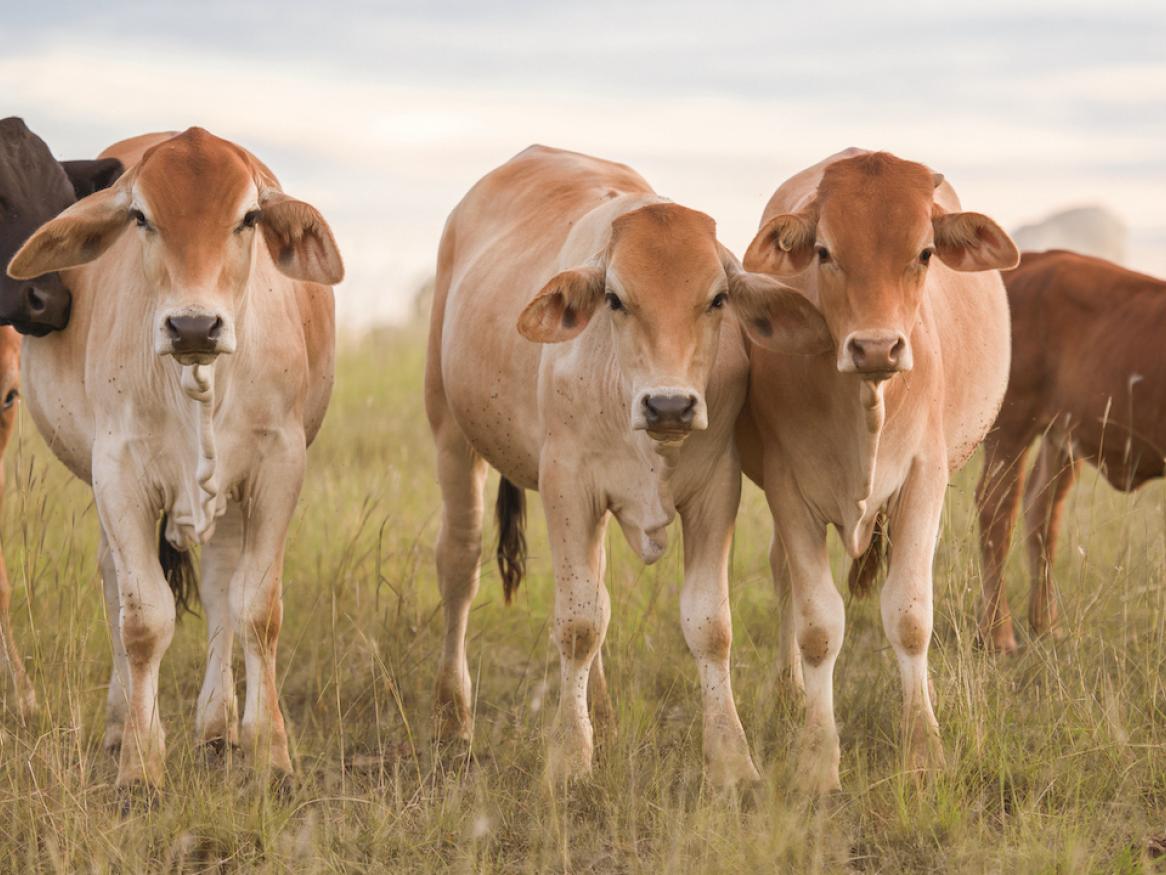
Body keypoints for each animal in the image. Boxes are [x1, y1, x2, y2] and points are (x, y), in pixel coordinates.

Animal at [7, 127, 342, 789]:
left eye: (249, 218)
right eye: (141, 217)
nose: (192, 326)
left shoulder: (277, 466)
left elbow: (256, 610)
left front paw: (271, 754)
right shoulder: (118, 474)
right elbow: (142, 620)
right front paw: (140, 765)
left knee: (220, 590)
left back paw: (217, 727)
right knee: (116, 585)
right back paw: (122, 725)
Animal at [426, 145, 829, 787]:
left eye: (717, 299)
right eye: (615, 299)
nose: (669, 404)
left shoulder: (716, 491)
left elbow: (708, 626)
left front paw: (731, 758)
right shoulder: (567, 488)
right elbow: (577, 625)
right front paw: (569, 756)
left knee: (599, 594)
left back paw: (605, 715)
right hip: (449, 432)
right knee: (460, 565)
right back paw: (452, 715)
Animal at [737, 148, 1019, 792]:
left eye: (925, 252)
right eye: (824, 251)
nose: (875, 348)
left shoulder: (924, 478)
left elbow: (910, 615)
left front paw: (924, 749)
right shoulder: (788, 488)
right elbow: (818, 626)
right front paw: (818, 758)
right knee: (783, 578)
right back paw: (789, 693)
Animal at [976, 250, 1166, 653]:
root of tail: (1042, 258)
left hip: (1061, 436)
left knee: (1042, 511)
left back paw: (1045, 626)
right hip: (1012, 425)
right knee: (997, 512)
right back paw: (998, 635)